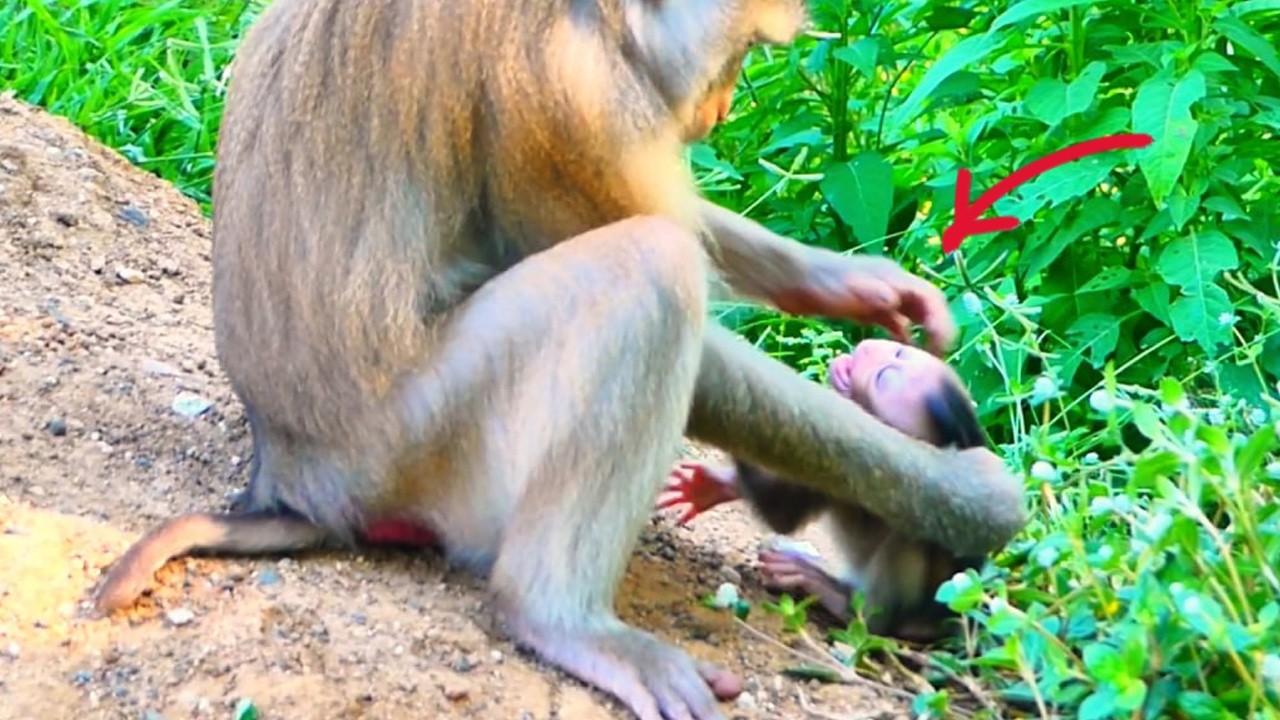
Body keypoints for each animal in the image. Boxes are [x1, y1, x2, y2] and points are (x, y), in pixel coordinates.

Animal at [660, 338, 990, 642]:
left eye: (882, 378)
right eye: (900, 352)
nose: (869, 347)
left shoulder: (872, 471)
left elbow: (784, 516)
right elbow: (783, 508)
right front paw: (715, 484)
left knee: (912, 538)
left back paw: (847, 604)